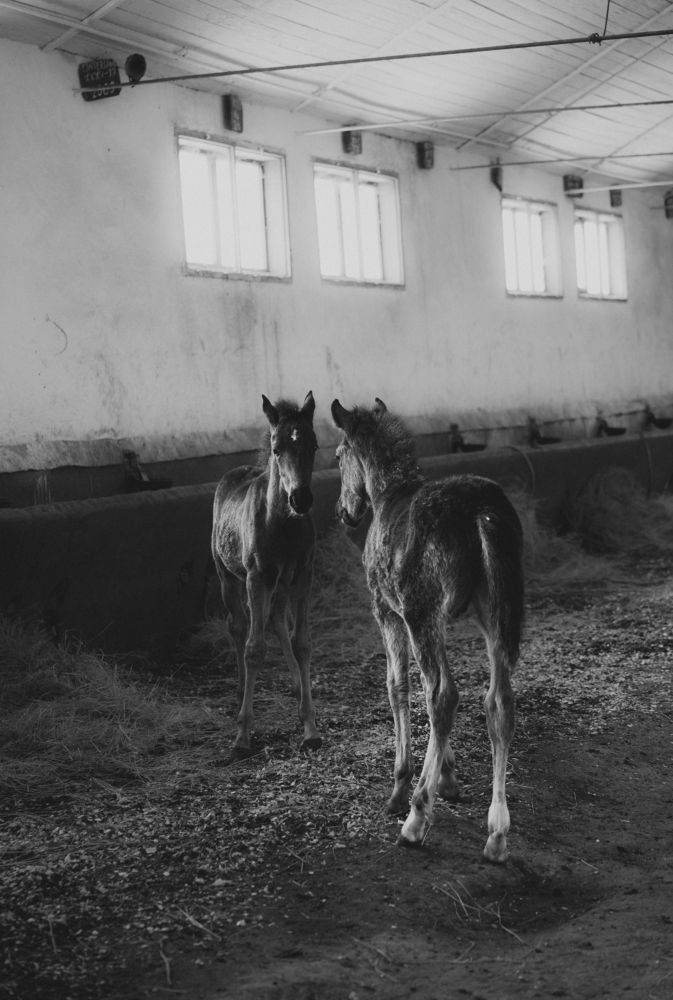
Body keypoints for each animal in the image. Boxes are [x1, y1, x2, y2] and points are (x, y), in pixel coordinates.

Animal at [211, 391, 322, 760]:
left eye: (314, 445)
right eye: (276, 449)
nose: (301, 499)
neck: (282, 522)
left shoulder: (302, 574)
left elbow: (301, 642)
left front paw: (310, 728)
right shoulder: (256, 578)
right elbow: (253, 648)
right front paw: (242, 735)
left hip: (281, 583)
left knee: (276, 620)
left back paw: (296, 687)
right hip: (229, 578)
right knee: (237, 626)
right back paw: (239, 694)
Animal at [331, 397, 524, 863]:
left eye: (339, 455)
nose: (344, 511)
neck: (387, 495)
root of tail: (479, 511)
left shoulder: (390, 613)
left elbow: (398, 685)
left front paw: (401, 787)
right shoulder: (437, 620)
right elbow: (422, 684)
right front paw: (449, 779)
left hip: (421, 613)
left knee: (445, 695)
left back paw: (416, 818)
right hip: (492, 614)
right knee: (498, 701)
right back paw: (497, 833)